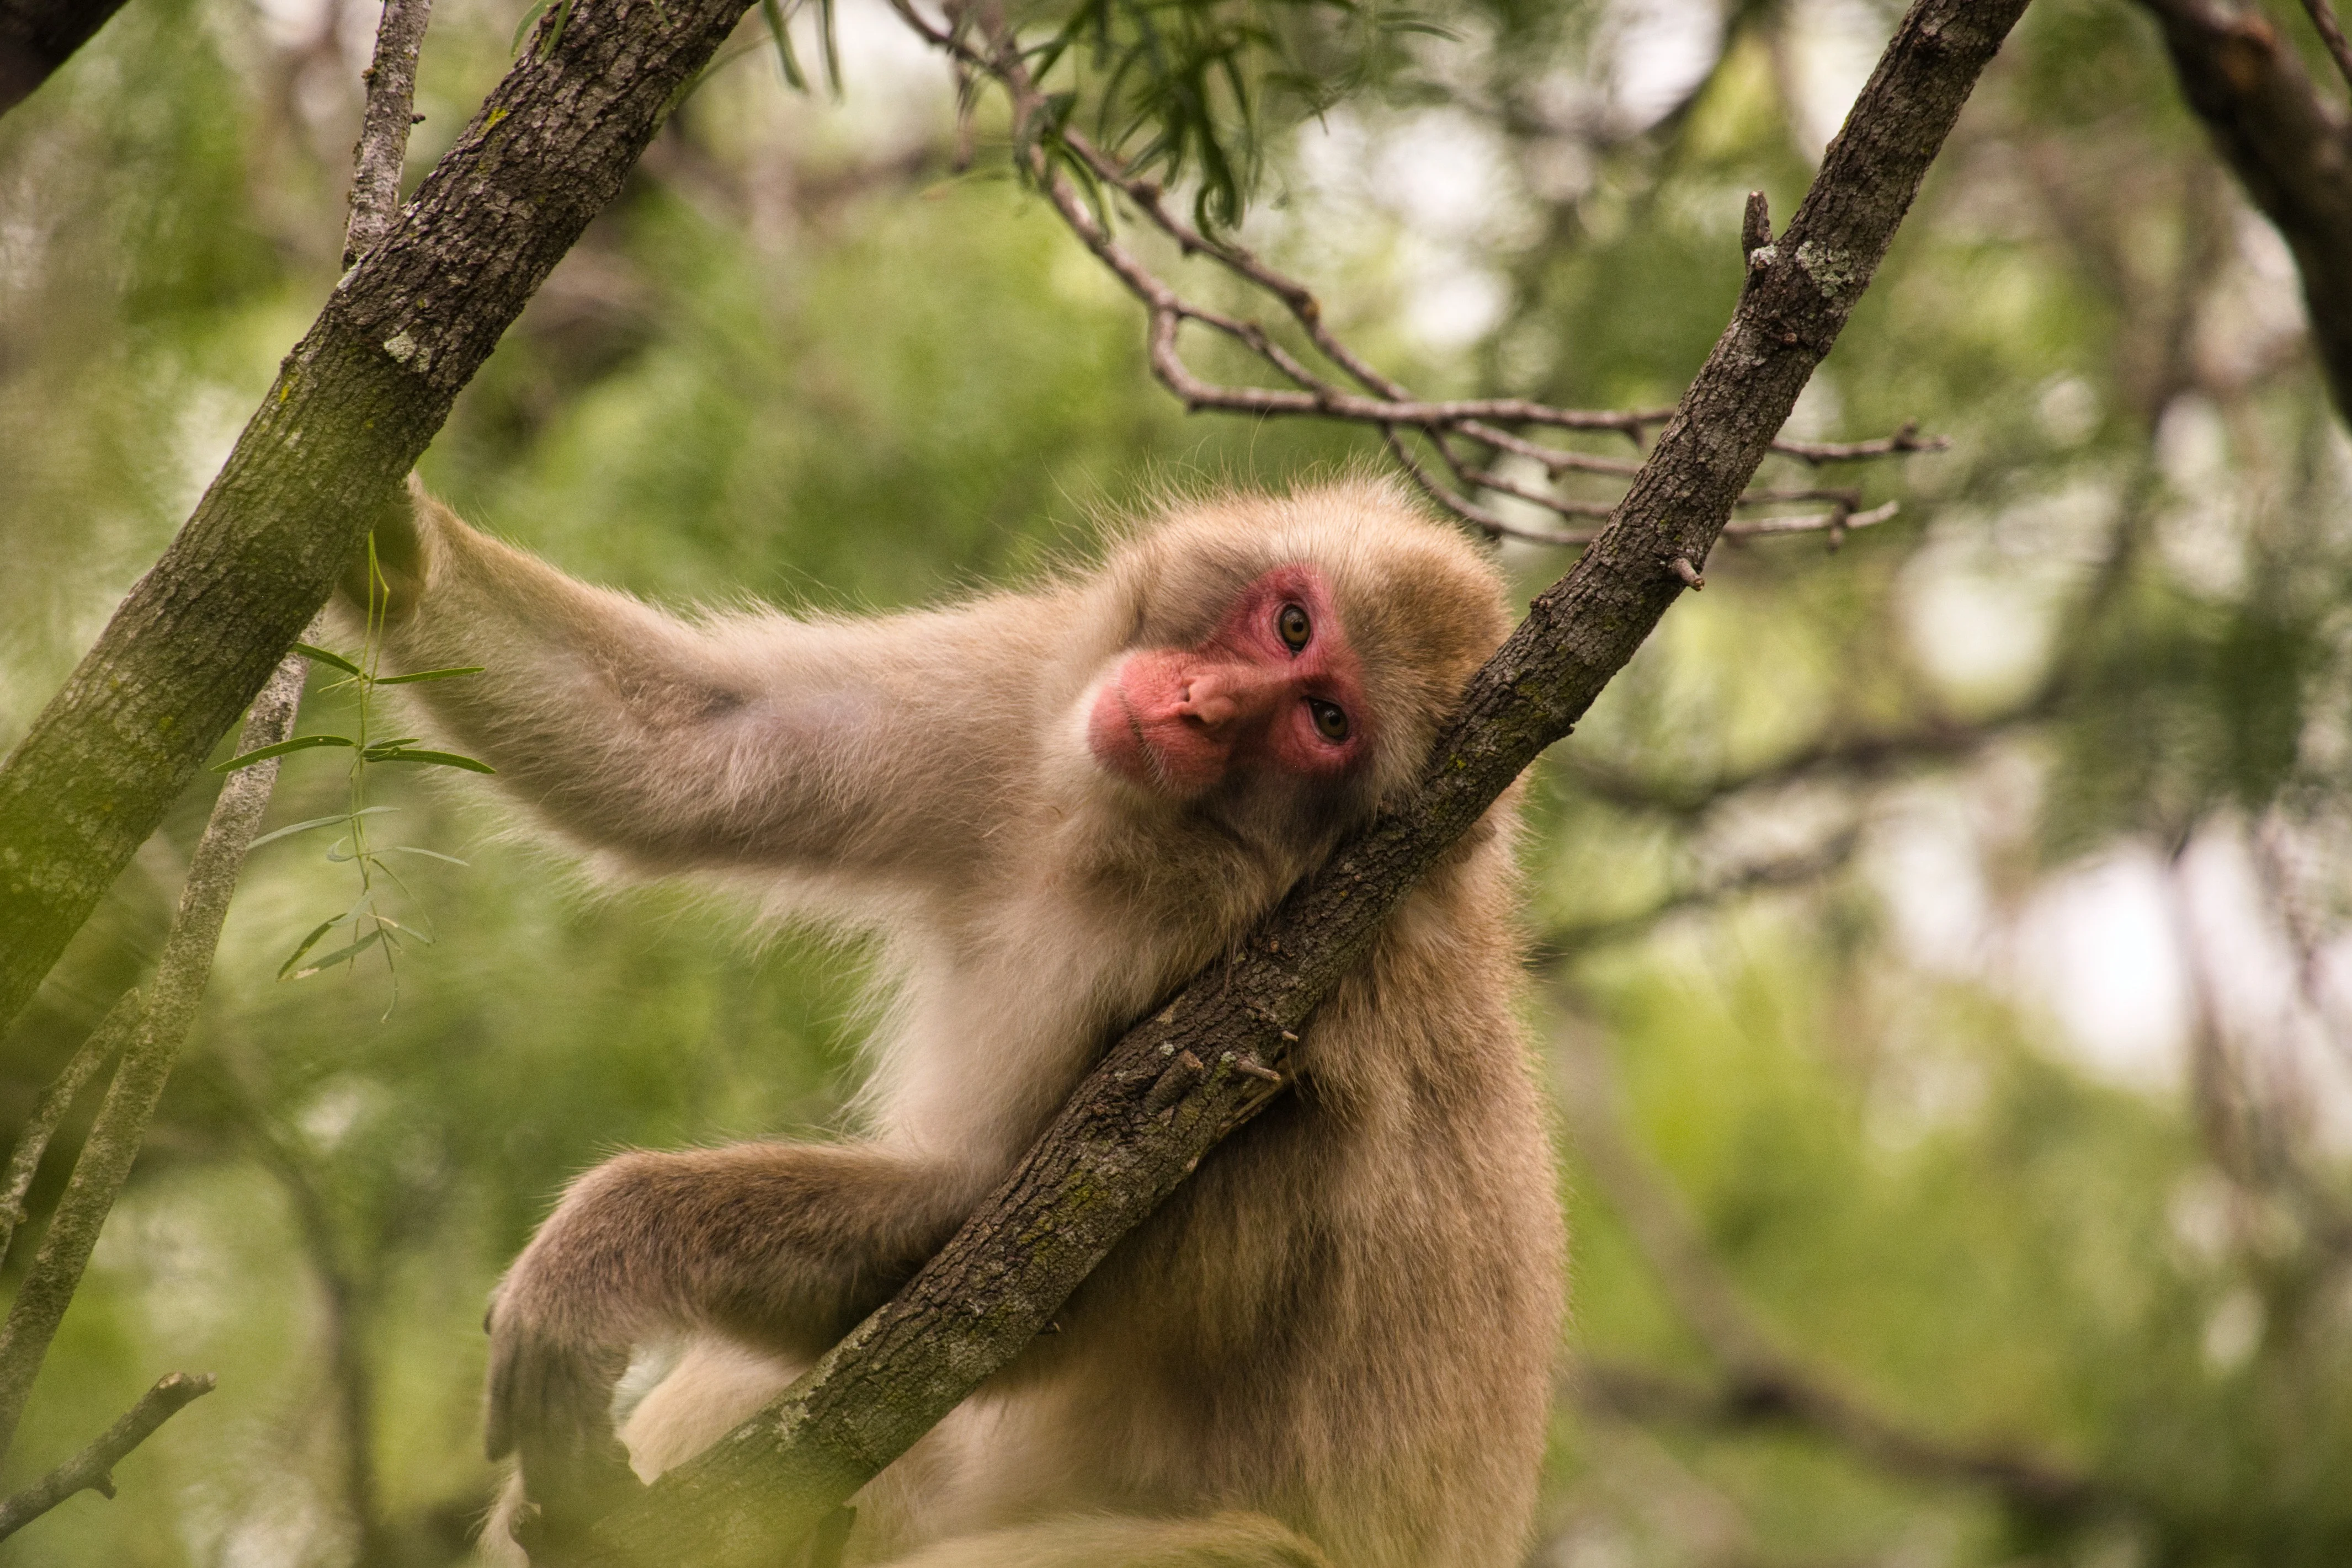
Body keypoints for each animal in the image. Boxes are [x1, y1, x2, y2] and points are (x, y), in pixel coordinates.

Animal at [340, 476, 1564, 1568]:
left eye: (1323, 721)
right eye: (1292, 622)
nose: (1200, 707)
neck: (1130, 844)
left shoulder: (1266, 1019)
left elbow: (1002, 1266)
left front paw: (604, 1247)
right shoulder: (1021, 694)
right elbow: (703, 752)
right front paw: (392, 538)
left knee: (1235, 1550)